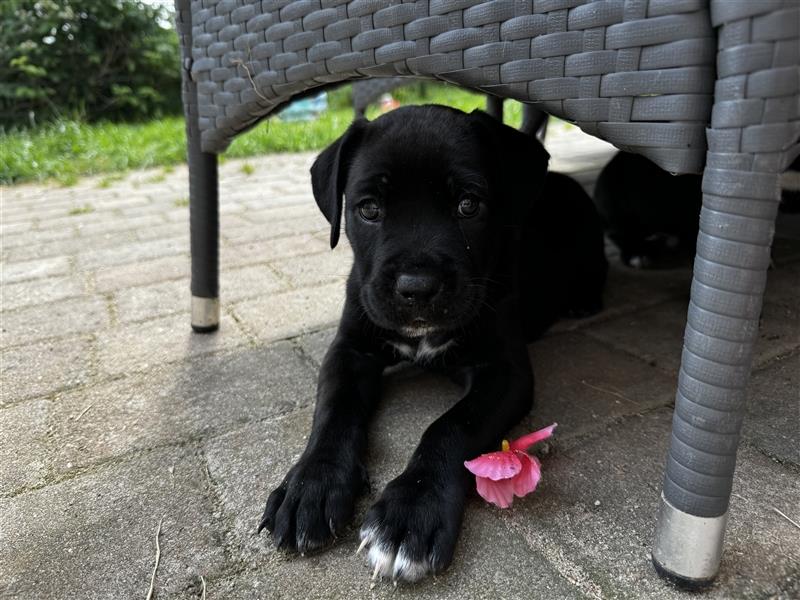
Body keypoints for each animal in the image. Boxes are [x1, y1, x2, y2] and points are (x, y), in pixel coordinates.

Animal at [260, 105, 604, 584]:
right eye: (369, 209)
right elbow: (334, 408)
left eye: (468, 204)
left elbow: (451, 425)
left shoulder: (504, 371)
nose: (417, 288)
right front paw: (311, 486)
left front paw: (409, 513)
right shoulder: (349, 350)